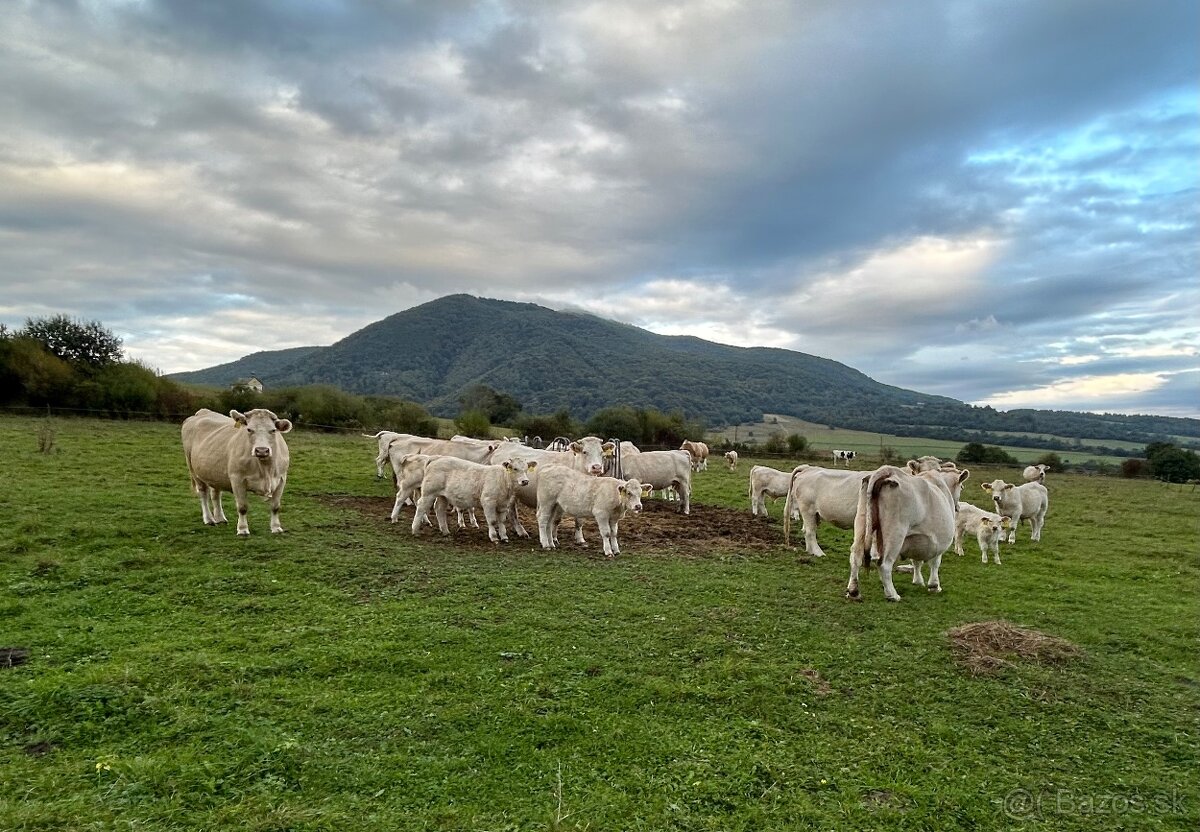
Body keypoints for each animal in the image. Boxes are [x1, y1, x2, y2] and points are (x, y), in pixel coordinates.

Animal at [183, 405, 294, 535]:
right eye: (249, 429)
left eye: (273, 430)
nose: (261, 450)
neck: (265, 468)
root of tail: (201, 412)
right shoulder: (237, 479)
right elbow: (242, 507)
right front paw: (242, 529)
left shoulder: (281, 479)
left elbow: (275, 506)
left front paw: (276, 527)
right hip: (193, 469)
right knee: (203, 494)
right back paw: (209, 519)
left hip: (215, 473)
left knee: (215, 494)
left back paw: (220, 518)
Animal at [840, 463, 969, 600]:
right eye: (962, 487)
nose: (958, 507)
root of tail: (887, 471)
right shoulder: (939, 542)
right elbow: (935, 563)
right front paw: (934, 586)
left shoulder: (917, 539)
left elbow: (916, 561)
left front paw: (918, 580)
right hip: (895, 533)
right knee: (884, 564)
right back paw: (892, 595)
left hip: (861, 523)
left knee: (856, 556)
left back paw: (853, 591)